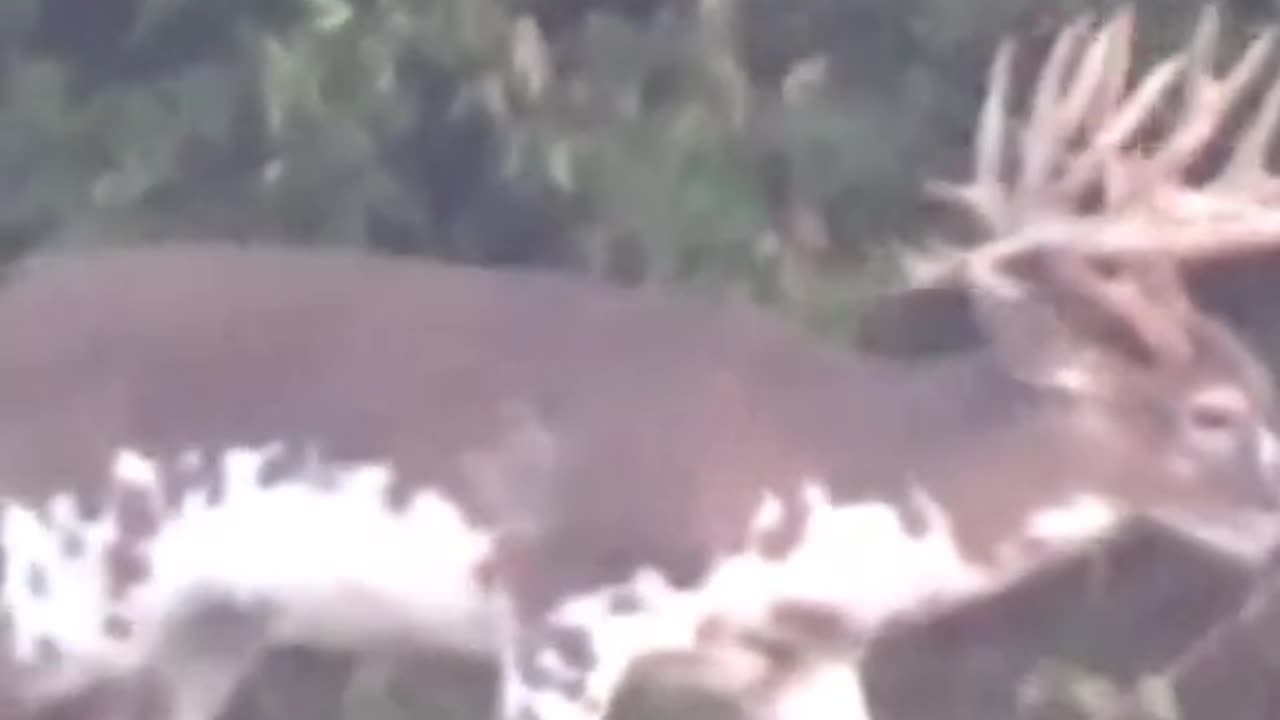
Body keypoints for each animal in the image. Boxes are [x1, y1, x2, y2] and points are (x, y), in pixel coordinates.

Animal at [1, 6, 1279, 720]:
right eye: (1211, 411)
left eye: (1257, 385)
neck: (833, 476)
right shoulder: (562, 609)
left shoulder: (798, 664)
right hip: (51, 592)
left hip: (196, 632)